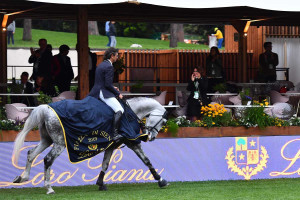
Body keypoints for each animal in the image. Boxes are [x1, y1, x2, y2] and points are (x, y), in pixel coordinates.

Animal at [12, 97, 169, 194]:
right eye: (163, 122)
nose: (152, 138)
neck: (130, 113)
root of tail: (46, 109)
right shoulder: (132, 142)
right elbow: (146, 160)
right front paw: (161, 180)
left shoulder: (111, 145)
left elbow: (105, 164)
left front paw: (100, 183)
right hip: (60, 143)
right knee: (48, 159)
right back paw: (49, 188)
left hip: (47, 140)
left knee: (31, 154)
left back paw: (22, 177)